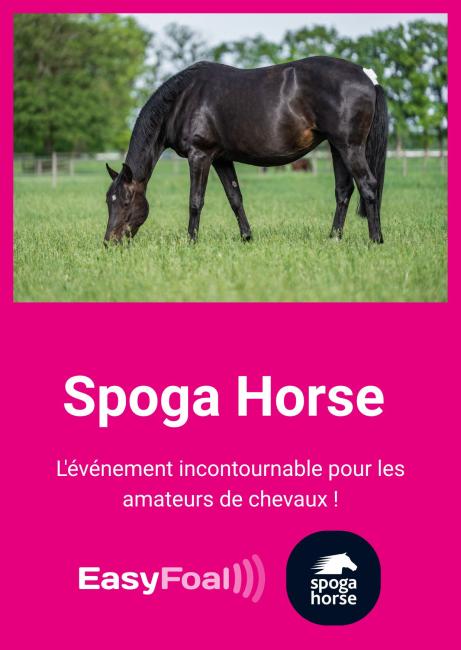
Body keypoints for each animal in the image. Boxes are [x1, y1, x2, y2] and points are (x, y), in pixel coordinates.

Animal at [104, 57, 388, 245]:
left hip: (349, 147)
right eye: (109, 201)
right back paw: (333, 238)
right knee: (343, 191)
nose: (110, 242)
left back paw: (375, 239)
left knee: (368, 185)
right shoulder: (221, 159)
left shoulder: (200, 155)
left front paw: (191, 241)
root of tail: (367, 76)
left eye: (126, 201)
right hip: (336, 147)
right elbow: (235, 198)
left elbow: (195, 201)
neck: (183, 100)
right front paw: (246, 237)